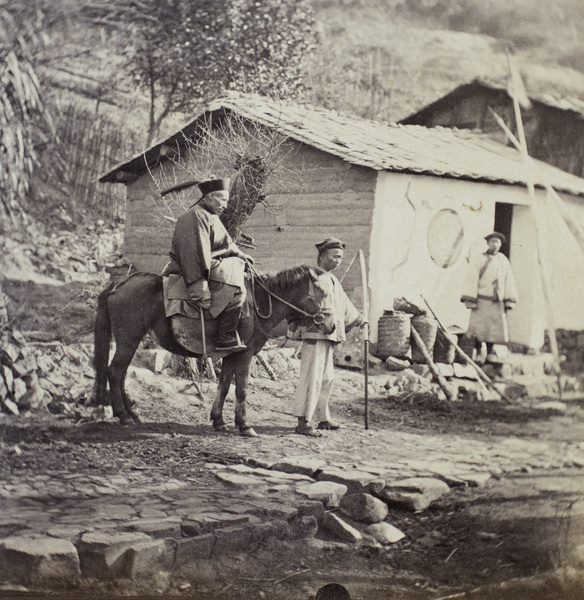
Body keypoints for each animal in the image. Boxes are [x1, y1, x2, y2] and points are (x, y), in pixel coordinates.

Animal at [93, 266, 336, 436]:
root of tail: (119, 284)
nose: (332, 326)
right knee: (115, 372)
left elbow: (224, 386)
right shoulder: (245, 355)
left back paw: (131, 414)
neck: (260, 303)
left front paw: (219, 421)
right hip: (128, 339)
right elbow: (241, 390)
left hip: (129, 341)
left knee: (120, 374)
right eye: (323, 293)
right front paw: (244, 425)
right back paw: (124, 416)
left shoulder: (230, 355)